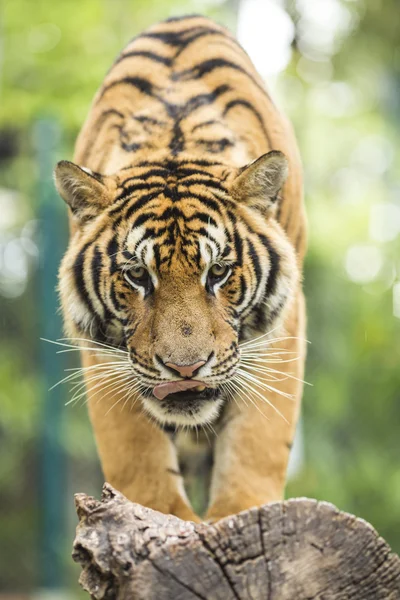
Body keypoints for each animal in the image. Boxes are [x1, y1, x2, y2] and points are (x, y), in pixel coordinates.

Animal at [54, 12, 308, 520]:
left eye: (218, 273)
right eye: (138, 276)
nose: (185, 370)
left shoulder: (285, 325)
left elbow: (258, 440)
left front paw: (236, 512)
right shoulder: (102, 352)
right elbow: (135, 453)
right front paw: (164, 518)